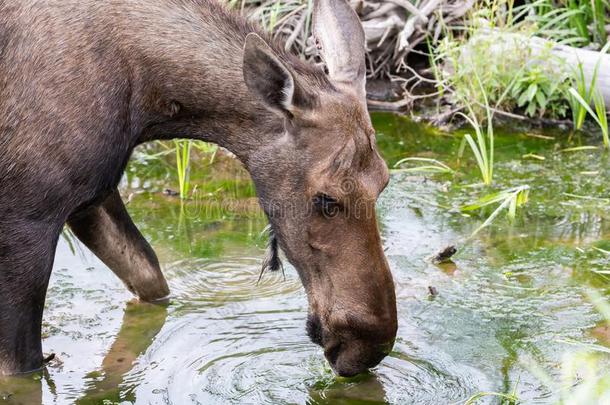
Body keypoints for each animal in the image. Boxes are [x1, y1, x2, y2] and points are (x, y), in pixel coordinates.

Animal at [0, 0, 396, 376]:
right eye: (326, 199)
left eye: (384, 181)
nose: (371, 345)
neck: (147, 106)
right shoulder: (28, 215)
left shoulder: (92, 194)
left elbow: (150, 276)